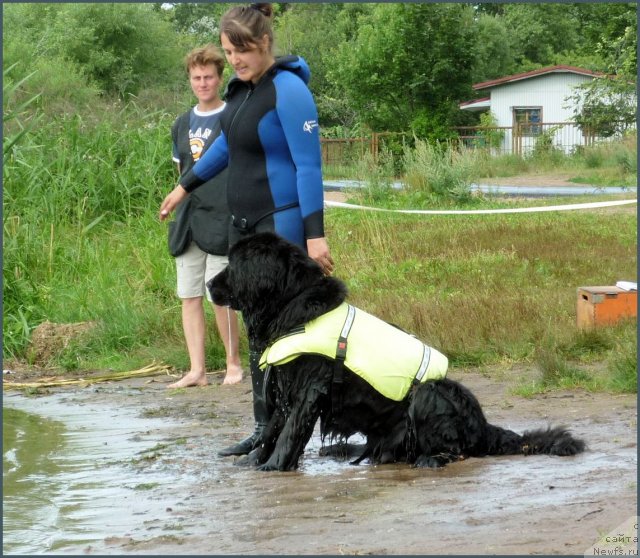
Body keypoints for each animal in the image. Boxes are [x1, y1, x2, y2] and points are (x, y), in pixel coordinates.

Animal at [209, 232, 584, 472]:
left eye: (233, 265)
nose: (210, 285)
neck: (293, 305)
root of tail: (483, 426)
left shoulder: (309, 388)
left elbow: (288, 434)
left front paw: (272, 467)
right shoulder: (286, 387)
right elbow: (272, 429)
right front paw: (252, 462)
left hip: (432, 393)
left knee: (455, 447)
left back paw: (431, 460)